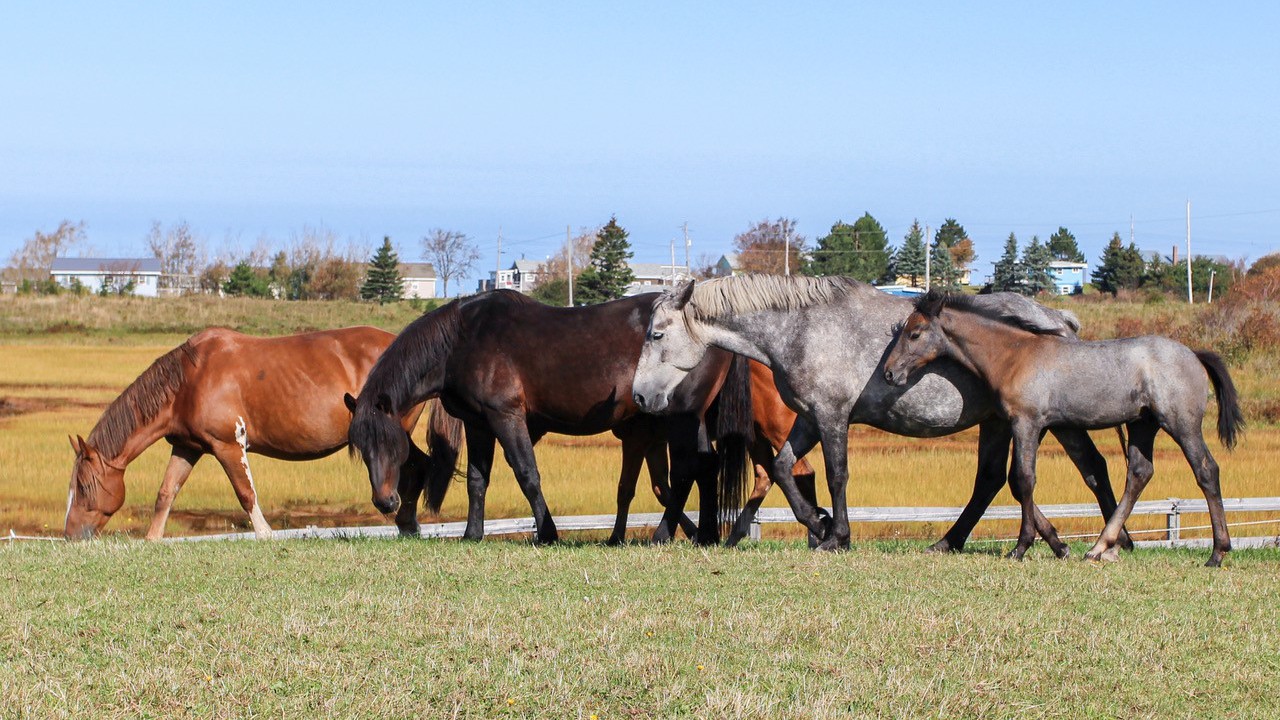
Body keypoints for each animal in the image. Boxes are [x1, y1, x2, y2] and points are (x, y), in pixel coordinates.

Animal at [66, 325, 455, 538]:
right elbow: (166, 494)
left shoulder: (227, 446)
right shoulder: (188, 447)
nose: (71, 535)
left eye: (84, 487)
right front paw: (152, 538)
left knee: (415, 467)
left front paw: (266, 534)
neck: (190, 379)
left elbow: (245, 493)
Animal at [634, 272, 1126, 548]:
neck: (802, 327)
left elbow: (837, 475)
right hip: (1000, 423)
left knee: (1089, 467)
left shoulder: (831, 416)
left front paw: (837, 535)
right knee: (996, 481)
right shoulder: (808, 418)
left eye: (656, 334)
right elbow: (782, 468)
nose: (639, 395)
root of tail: (1059, 318)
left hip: (1046, 422)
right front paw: (818, 523)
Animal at [885, 288, 1244, 563]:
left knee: (1206, 470)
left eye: (914, 333)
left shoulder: (1026, 422)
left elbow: (1024, 479)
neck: (1015, 355)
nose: (889, 372)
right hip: (1142, 426)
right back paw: (1099, 547)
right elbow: (1018, 482)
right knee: (1139, 474)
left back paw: (1217, 552)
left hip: (1181, 424)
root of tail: (1194, 354)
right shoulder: (1044, 426)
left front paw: (1021, 547)